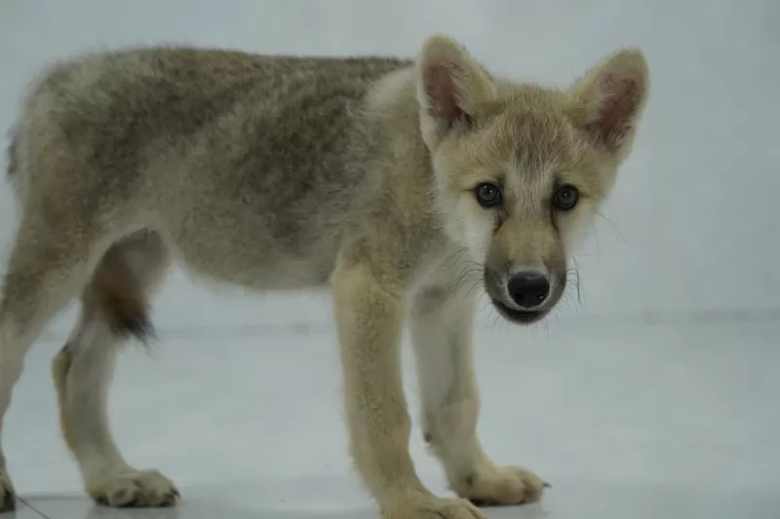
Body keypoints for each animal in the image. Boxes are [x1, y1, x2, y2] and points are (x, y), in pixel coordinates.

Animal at [0, 34, 644, 516]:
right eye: (490, 193)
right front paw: (411, 502)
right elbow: (386, 415)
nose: (529, 288)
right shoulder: (368, 289)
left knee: (72, 366)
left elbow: (455, 403)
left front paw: (477, 479)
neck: (431, 185)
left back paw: (113, 478)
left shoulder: (442, 302)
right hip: (59, 265)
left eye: (565, 198)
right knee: (19, 352)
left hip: (137, 262)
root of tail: (51, 78)